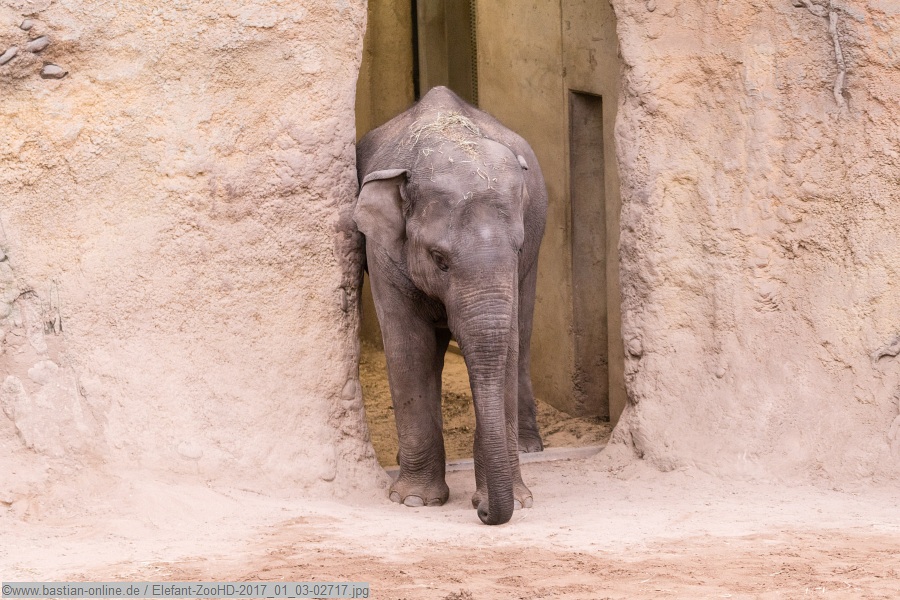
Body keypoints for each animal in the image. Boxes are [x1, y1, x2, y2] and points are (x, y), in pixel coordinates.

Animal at [353, 86, 547, 525]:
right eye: (439, 259)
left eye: (517, 247)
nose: (485, 513)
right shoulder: (384, 253)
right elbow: (408, 347)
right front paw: (414, 501)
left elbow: (506, 344)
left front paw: (518, 501)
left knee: (524, 336)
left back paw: (530, 448)